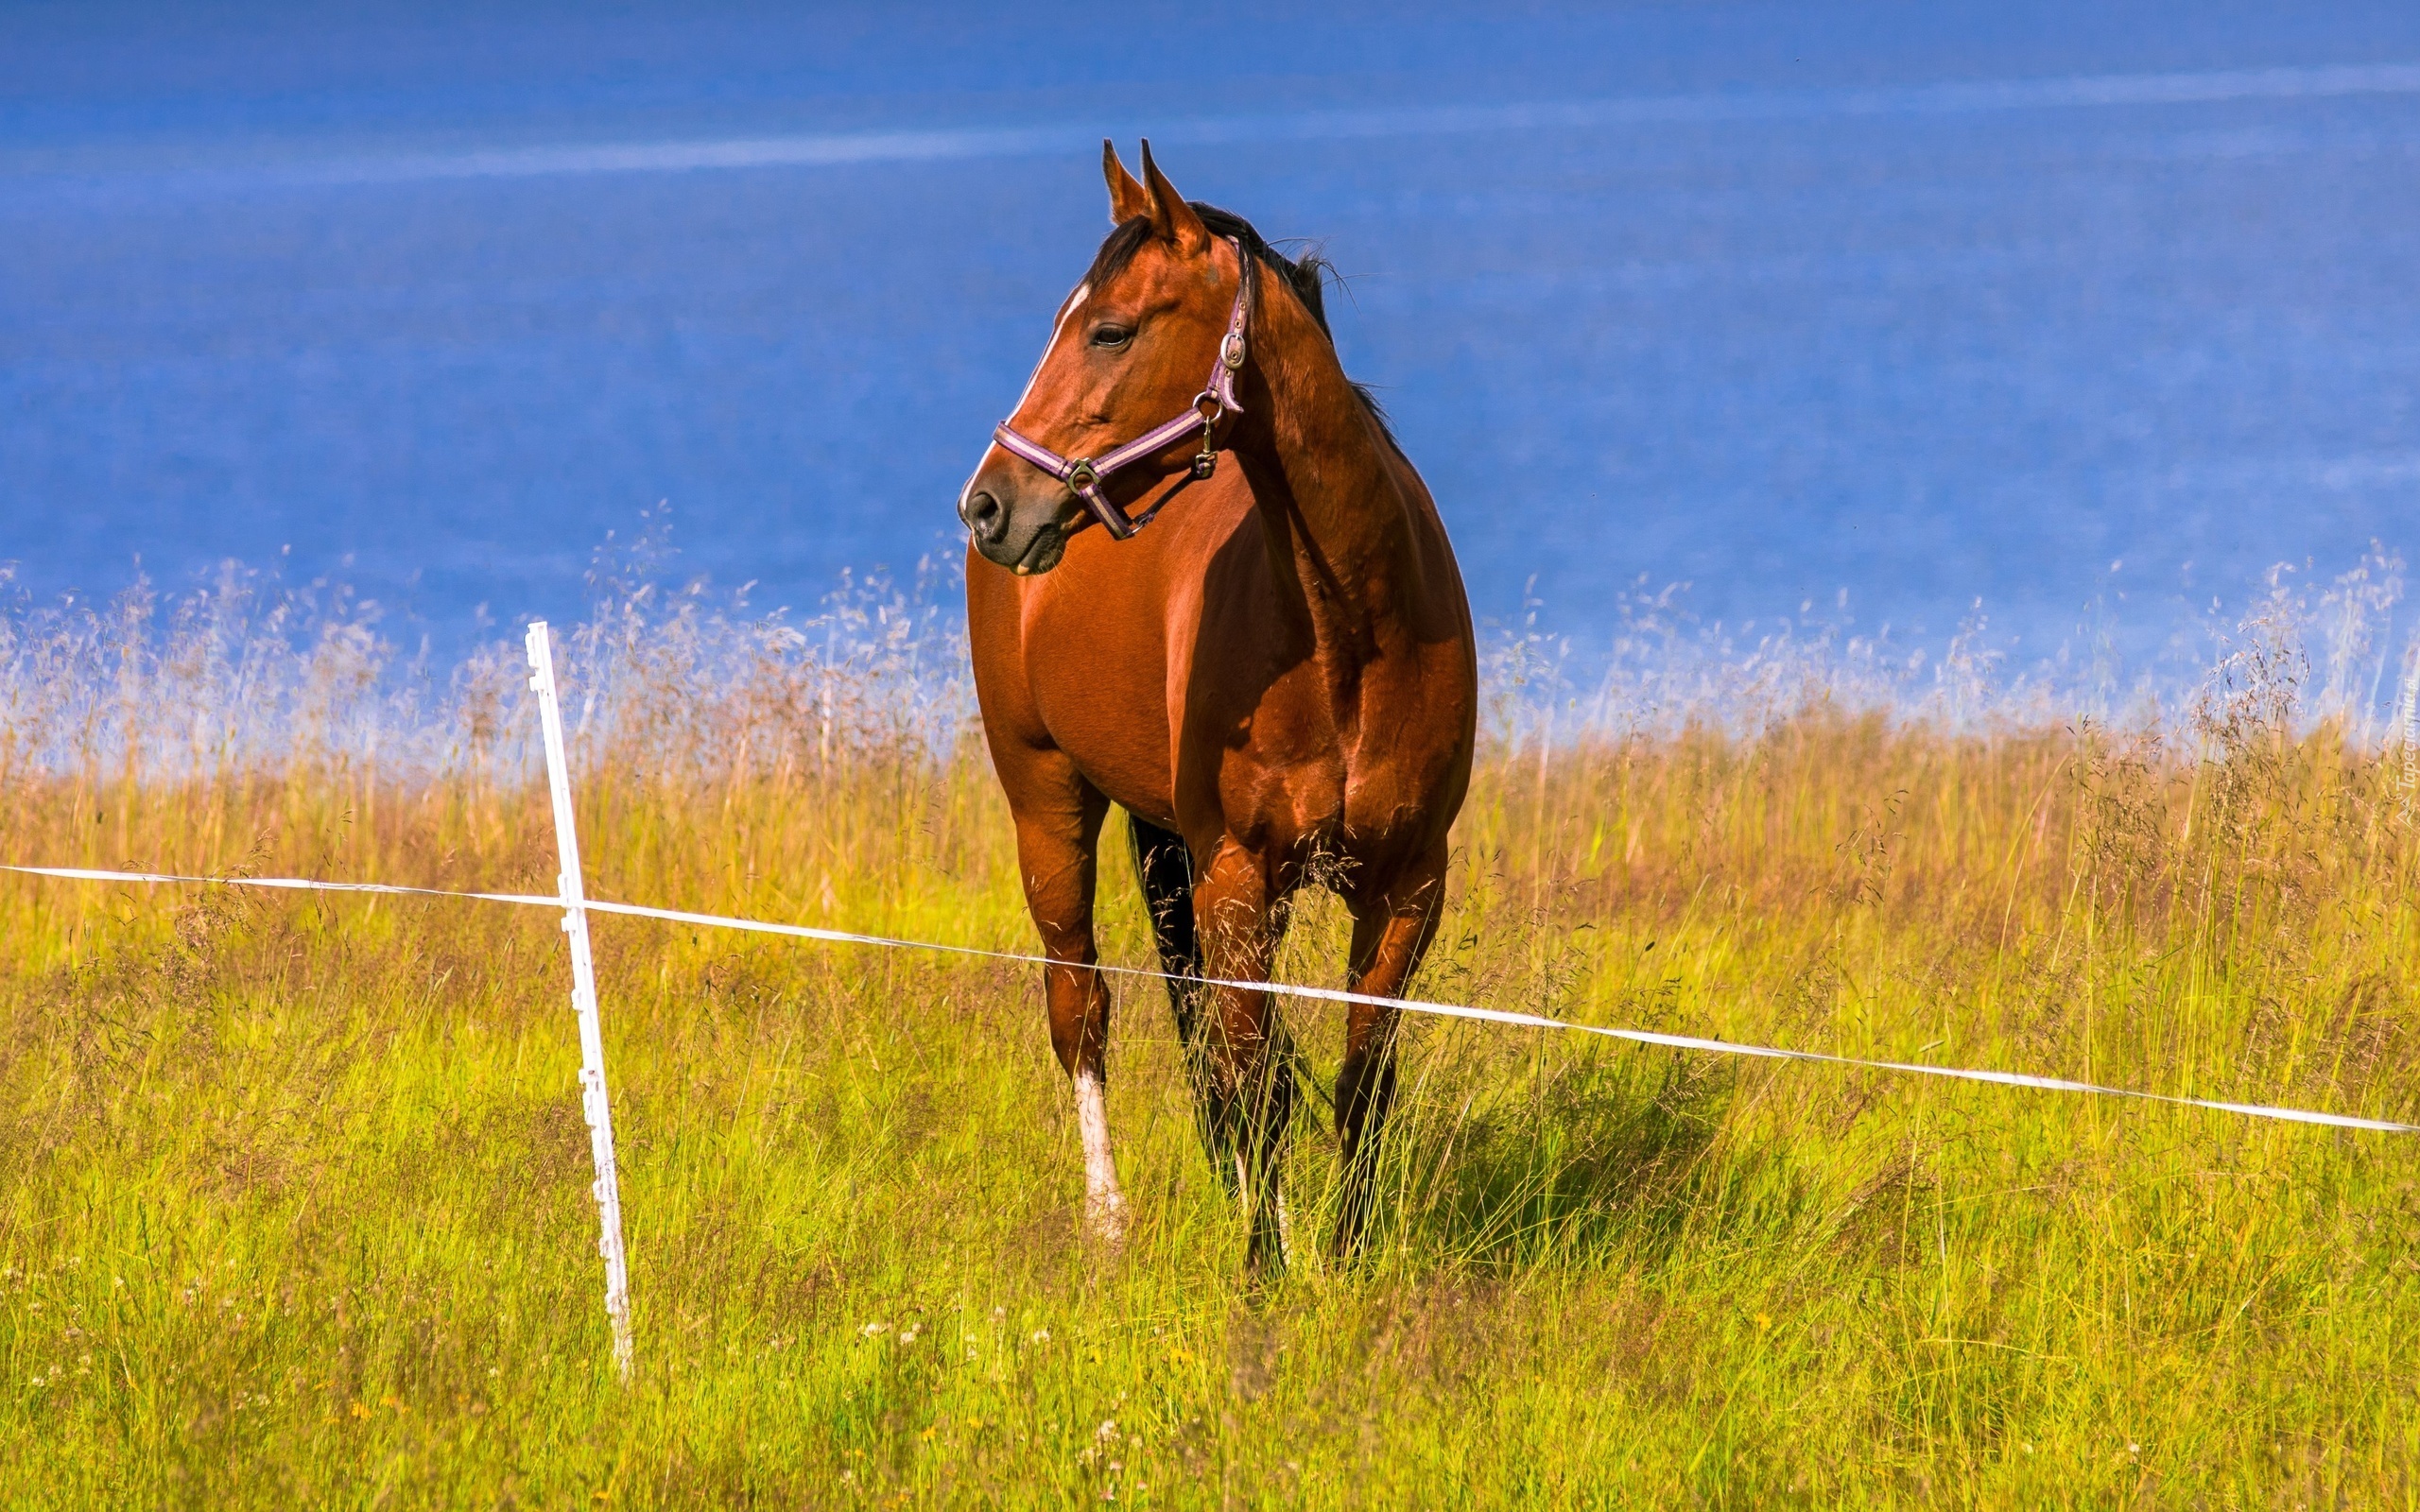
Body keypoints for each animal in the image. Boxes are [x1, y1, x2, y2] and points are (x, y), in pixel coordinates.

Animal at [958, 141, 1471, 1277]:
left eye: (1110, 328)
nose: (987, 503)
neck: (1348, 632)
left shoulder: (1407, 884)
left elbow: (1357, 1082)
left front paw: (1345, 1254)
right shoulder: (1237, 871)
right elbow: (1261, 1085)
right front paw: (1265, 1271)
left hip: (1167, 844)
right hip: (1048, 804)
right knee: (1084, 1006)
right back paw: (1110, 1223)